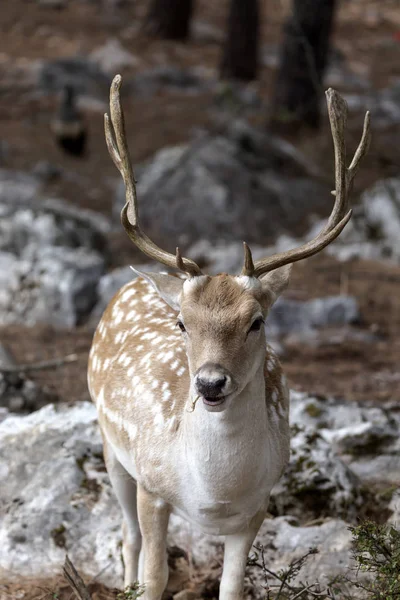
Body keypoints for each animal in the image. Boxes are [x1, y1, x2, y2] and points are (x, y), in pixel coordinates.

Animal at [88, 76, 372, 600]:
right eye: (182, 322)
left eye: (256, 321)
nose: (210, 383)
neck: (214, 493)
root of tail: (136, 282)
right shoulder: (152, 486)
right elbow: (155, 576)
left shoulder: (258, 506)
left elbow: (232, 586)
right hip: (109, 443)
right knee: (127, 537)